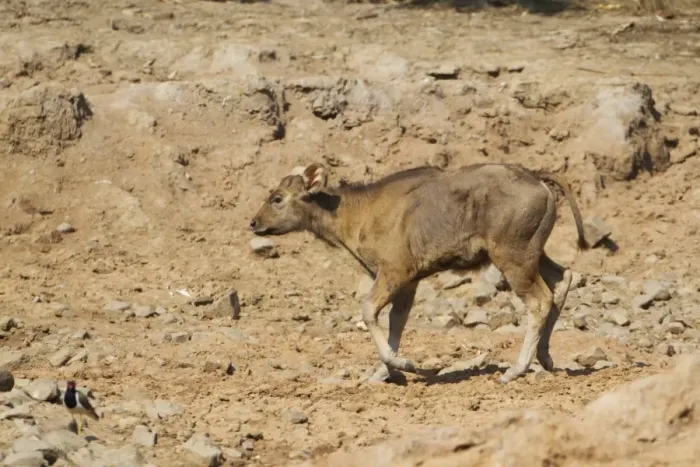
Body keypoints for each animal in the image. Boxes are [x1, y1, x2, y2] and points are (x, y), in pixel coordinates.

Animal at [249, 162, 589, 384]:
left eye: (277, 198)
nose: (253, 222)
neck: (356, 212)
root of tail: (537, 179)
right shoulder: (409, 282)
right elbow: (395, 323)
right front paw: (383, 373)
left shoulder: (394, 272)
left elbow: (369, 311)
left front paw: (405, 365)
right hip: (533, 253)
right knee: (564, 278)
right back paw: (545, 357)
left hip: (512, 257)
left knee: (539, 300)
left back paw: (516, 369)